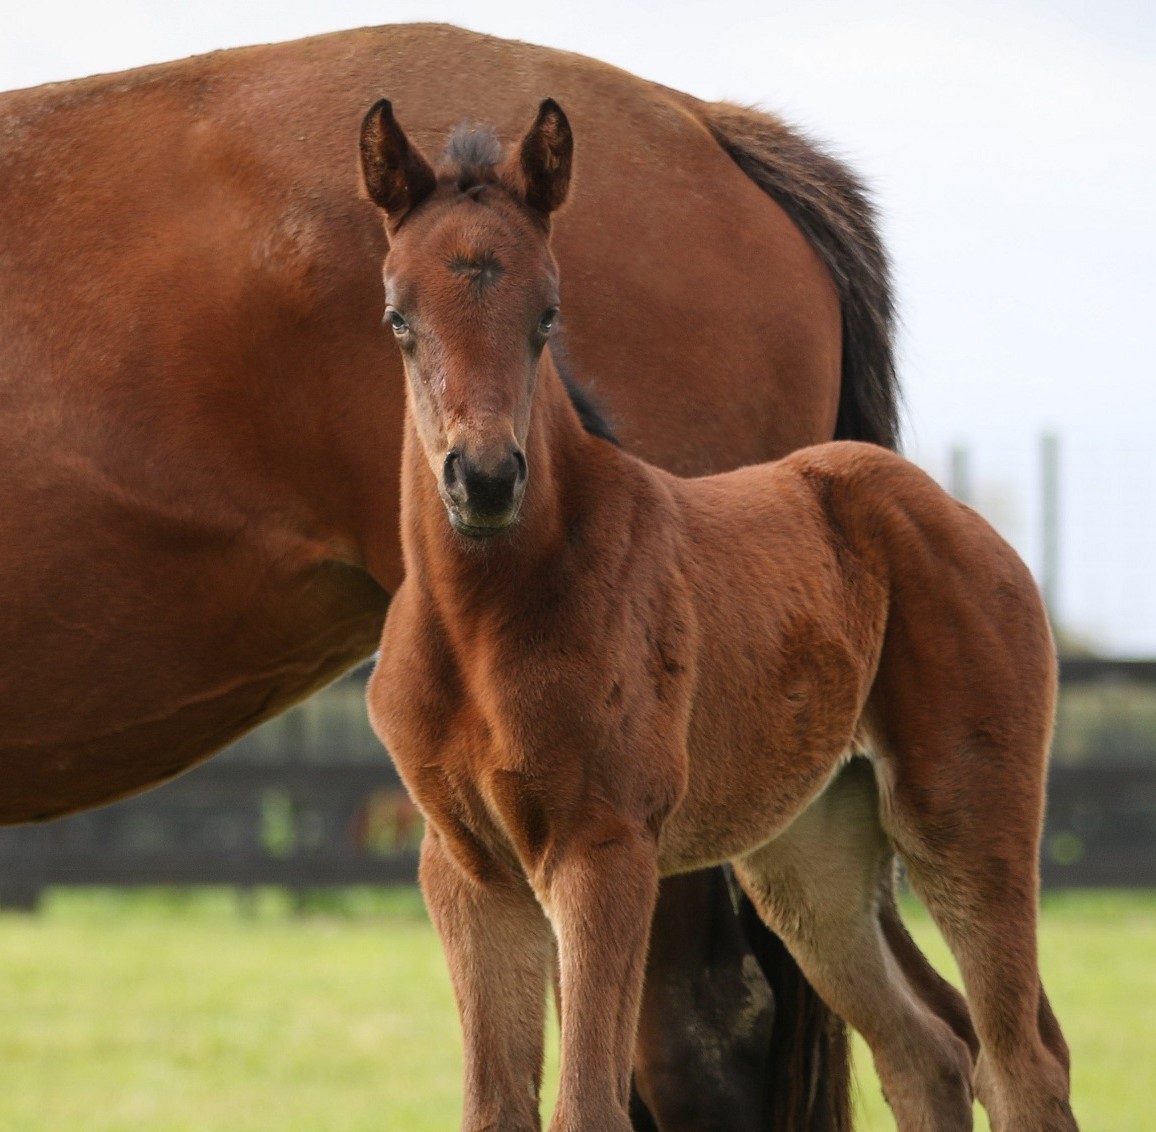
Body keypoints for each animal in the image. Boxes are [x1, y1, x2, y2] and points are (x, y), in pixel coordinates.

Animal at [358, 99, 1072, 1132]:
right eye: (398, 318)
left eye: (548, 316)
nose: (484, 481)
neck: (480, 623)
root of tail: (950, 514)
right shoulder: (468, 871)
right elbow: (495, 1108)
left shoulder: (604, 847)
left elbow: (588, 1105)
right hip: (810, 858)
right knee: (928, 1048)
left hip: (965, 814)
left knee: (1022, 1062)